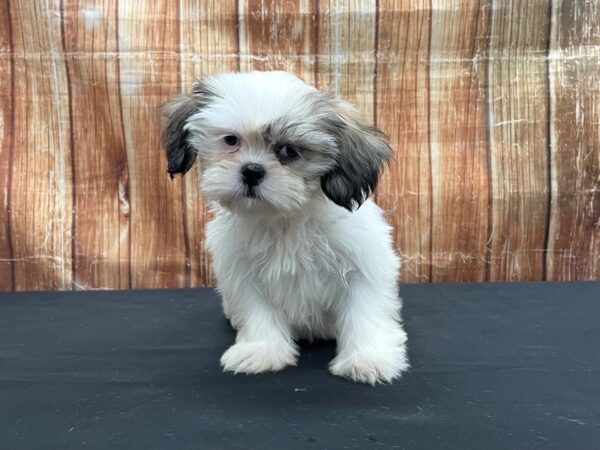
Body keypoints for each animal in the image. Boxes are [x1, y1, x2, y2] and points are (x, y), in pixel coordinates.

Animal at [162, 70, 410, 384]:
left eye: (290, 151)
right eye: (231, 140)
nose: (252, 171)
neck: (284, 217)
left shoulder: (363, 263)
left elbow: (365, 310)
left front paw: (368, 358)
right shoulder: (243, 272)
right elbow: (258, 311)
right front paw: (262, 351)